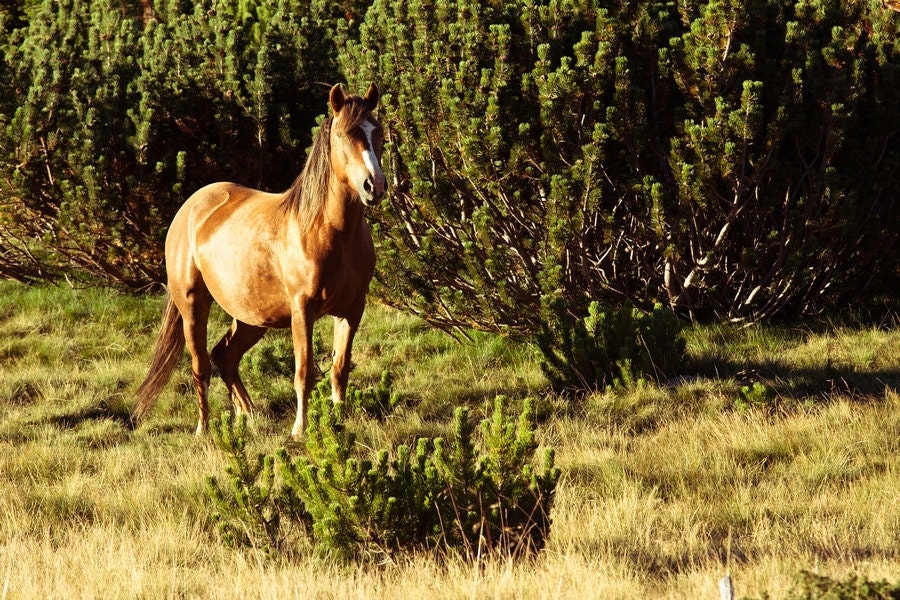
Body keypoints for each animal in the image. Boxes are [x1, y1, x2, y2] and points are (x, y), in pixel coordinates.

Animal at [132, 83, 385, 436]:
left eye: (378, 133)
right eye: (342, 135)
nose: (373, 185)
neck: (327, 232)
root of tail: (191, 207)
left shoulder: (351, 309)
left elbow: (339, 369)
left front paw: (338, 424)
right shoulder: (302, 310)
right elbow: (303, 372)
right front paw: (299, 431)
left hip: (251, 317)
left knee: (224, 356)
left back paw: (246, 414)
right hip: (193, 305)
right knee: (200, 366)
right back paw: (203, 429)